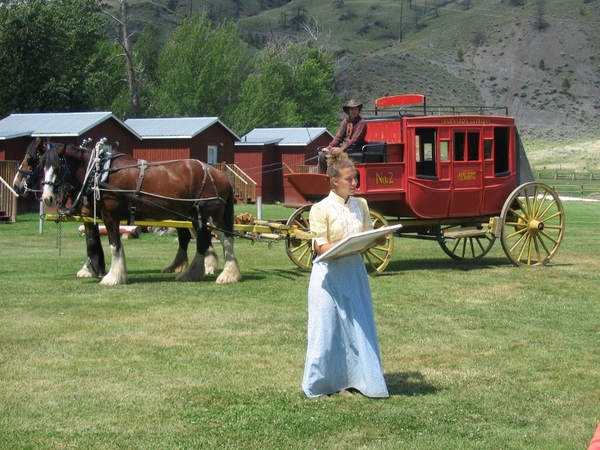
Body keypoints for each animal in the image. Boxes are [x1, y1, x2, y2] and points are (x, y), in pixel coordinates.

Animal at [12, 137, 106, 278]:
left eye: (29, 158)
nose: (16, 185)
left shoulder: (88, 214)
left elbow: (92, 240)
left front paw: (91, 269)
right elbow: (95, 239)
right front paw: (94, 267)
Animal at [38, 139, 241, 284]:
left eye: (58, 167)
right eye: (42, 167)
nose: (47, 198)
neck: (100, 173)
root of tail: (220, 174)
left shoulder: (110, 216)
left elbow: (114, 246)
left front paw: (112, 278)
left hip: (213, 216)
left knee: (227, 240)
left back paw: (228, 275)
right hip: (196, 216)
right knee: (203, 242)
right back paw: (191, 274)